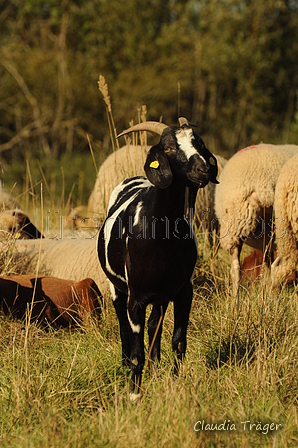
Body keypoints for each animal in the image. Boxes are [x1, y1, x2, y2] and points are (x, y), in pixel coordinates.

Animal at [98, 117, 219, 400]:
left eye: (199, 143)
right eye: (168, 148)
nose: (203, 170)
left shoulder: (184, 291)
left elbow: (179, 341)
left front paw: (175, 382)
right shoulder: (136, 298)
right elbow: (136, 352)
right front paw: (134, 394)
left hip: (162, 295)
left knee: (155, 326)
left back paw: (155, 367)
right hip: (118, 289)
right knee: (123, 324)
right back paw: (125, 365)